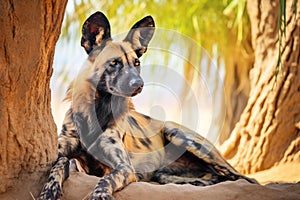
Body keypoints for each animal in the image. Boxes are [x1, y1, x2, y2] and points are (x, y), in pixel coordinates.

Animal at [37, 11, 255, 199]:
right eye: (114, 63)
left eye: (136, 63)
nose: (138, 84)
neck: (97, 111)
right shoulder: (63, 153)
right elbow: (61, 162)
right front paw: (49, 190)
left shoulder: (123, 167)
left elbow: (106, 180)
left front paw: (101, 195)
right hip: (165, 171)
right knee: (208, 178)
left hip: (180, 135)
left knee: (242, 179)